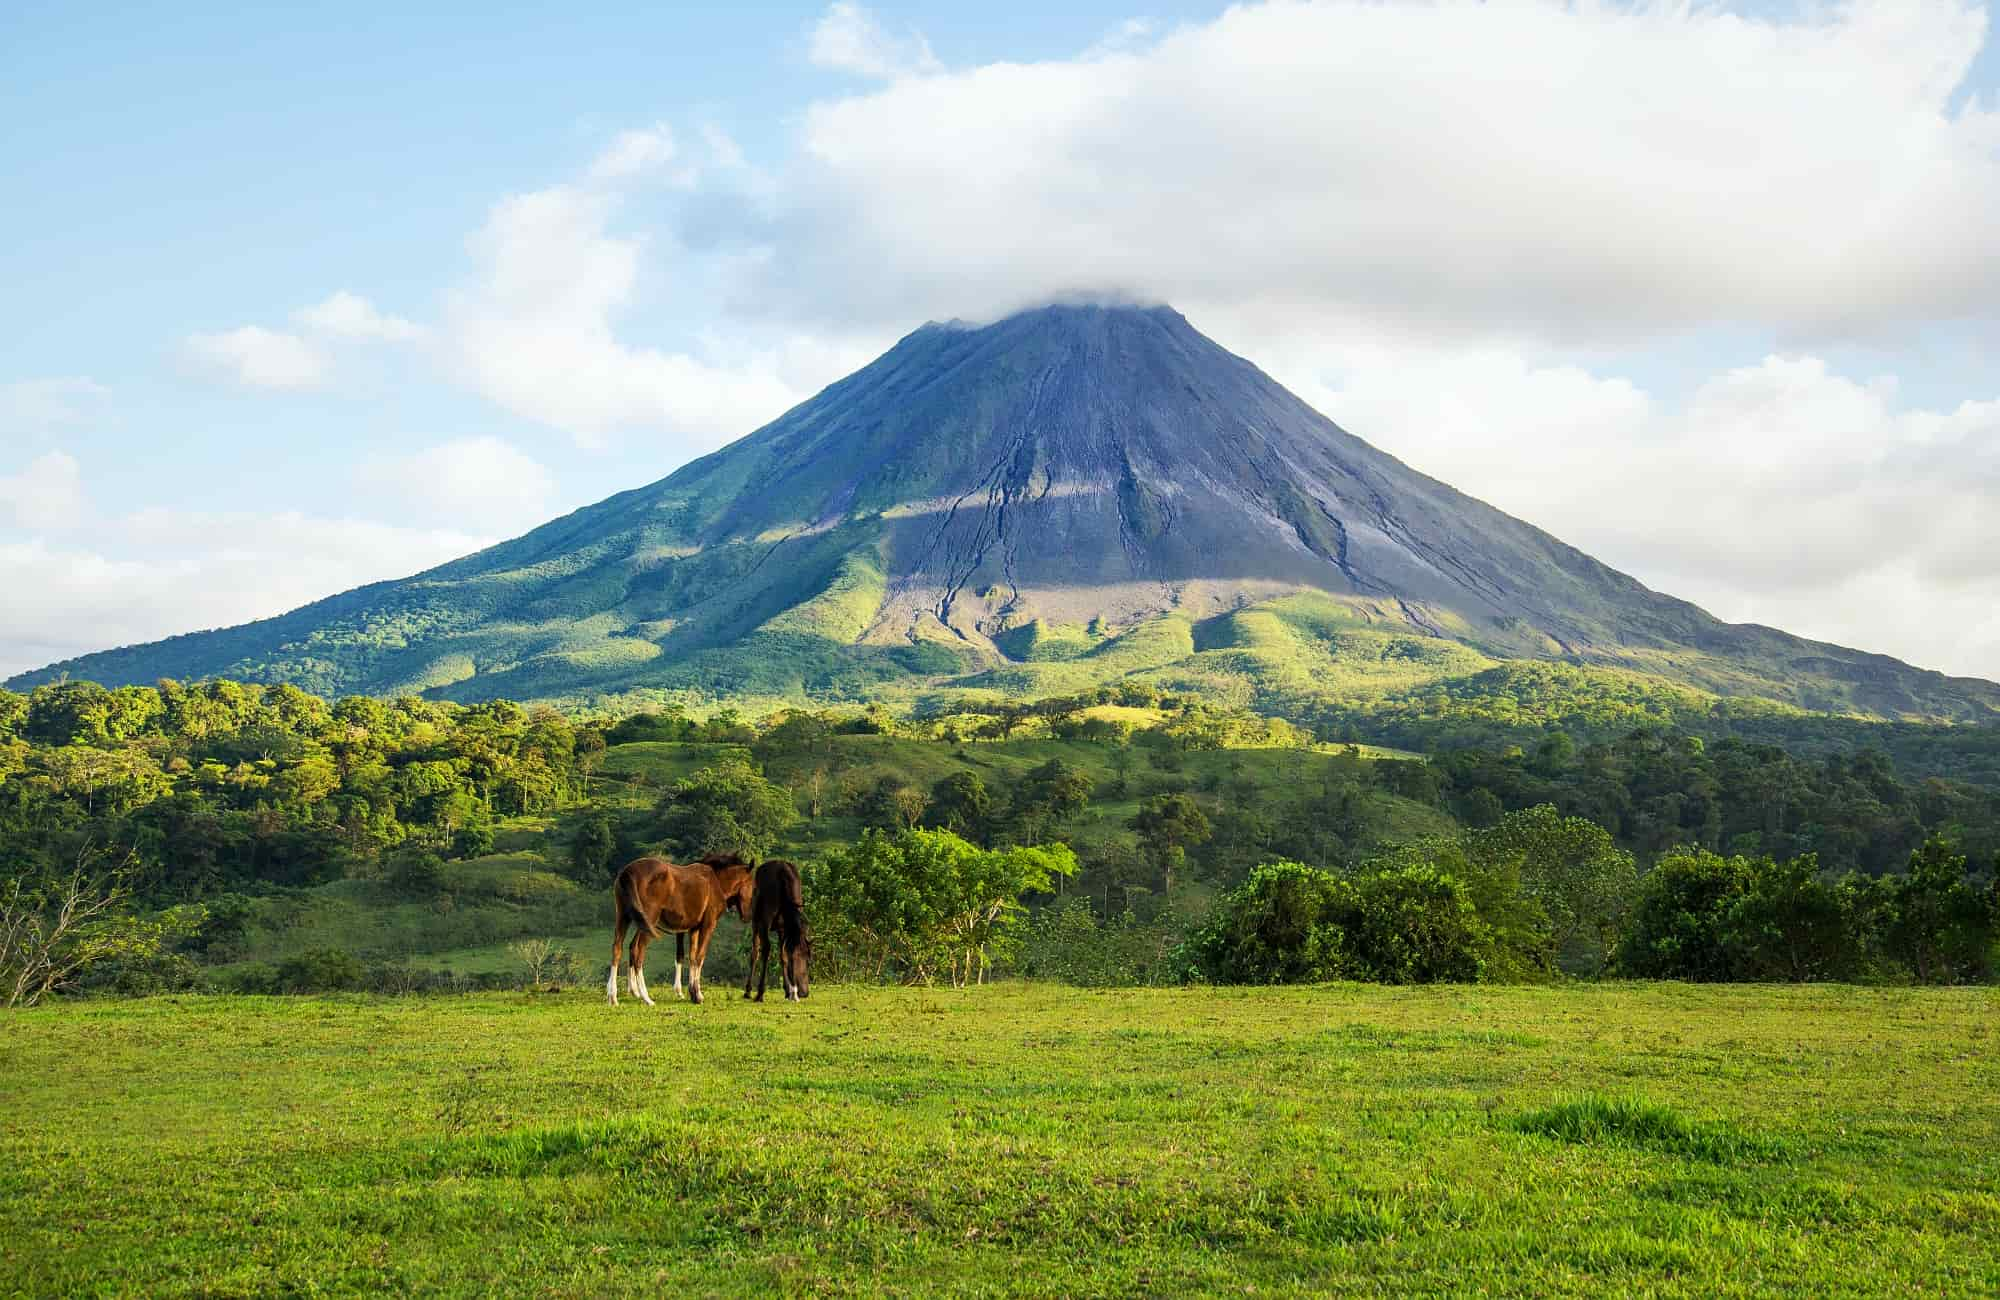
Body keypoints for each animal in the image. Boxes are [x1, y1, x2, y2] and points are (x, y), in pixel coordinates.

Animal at [604, 852, 752, 1004]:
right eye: (751, 884)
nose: (747, 916)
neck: (715, 881)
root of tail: (628, 872)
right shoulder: (708, 925)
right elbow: (700, 957)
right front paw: (697, 995)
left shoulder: (693, 929)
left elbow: (691, 957)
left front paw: (692, 992)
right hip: (648, 921)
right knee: (638, 951)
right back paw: (646, 998)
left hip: (625, 918)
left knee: (619, 948)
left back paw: (614, 996)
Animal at [744, 860, 812, 1004]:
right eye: (795, 959)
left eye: (809, 960)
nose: (804, 992)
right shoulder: (760, 922)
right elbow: (757, 953)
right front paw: (749, 990)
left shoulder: (782, 928)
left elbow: (782, 956)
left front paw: (787, 990)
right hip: (761, 920)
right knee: (764, 949)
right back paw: (759, 992)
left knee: (767, 949)